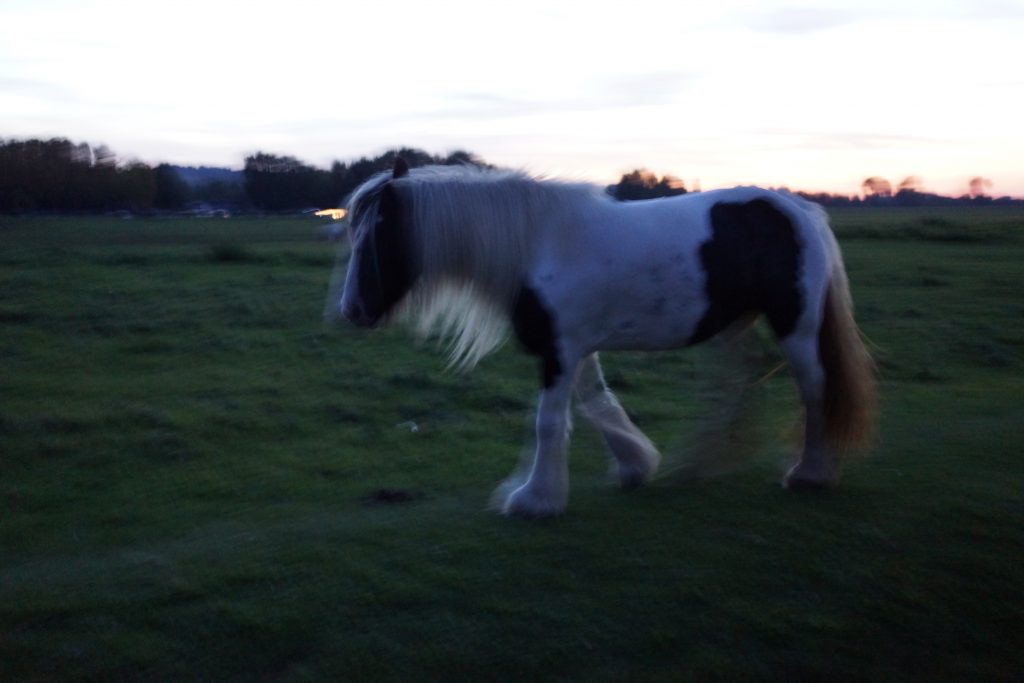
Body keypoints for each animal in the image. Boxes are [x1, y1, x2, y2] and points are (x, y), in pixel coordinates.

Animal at [331, 158, 876, 518]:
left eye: (379, 233)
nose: (353, 310)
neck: (537, 244)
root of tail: (799, 210)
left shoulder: (560, 350)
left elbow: (549, 421)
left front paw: (534, 499)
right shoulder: (572, 347)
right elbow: (595, 404)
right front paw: (634, 465)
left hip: (797, 325)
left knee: (815, 389)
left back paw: (810, 474)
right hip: (732, 326)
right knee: (733, 387)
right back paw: (699, 464)